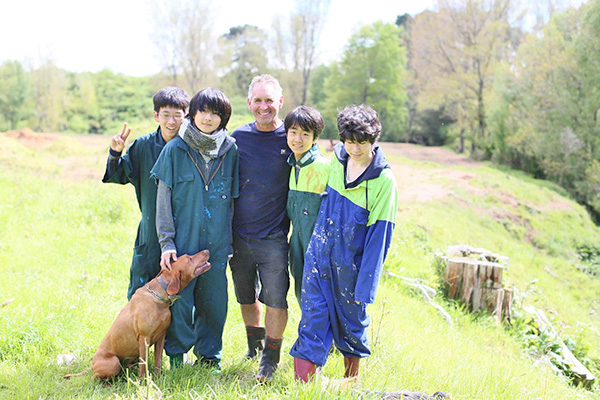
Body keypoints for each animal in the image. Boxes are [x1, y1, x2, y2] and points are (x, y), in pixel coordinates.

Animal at [64, 252, 211, 380]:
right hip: (113, 362)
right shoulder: (144, 338)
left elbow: (158, 361)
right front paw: (143, 383)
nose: (207, 250)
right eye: (189, 258)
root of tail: (93, 365)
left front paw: (158, 379)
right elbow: (143, 365)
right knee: (95, 378)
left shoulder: (161, 337)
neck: (160, 297)